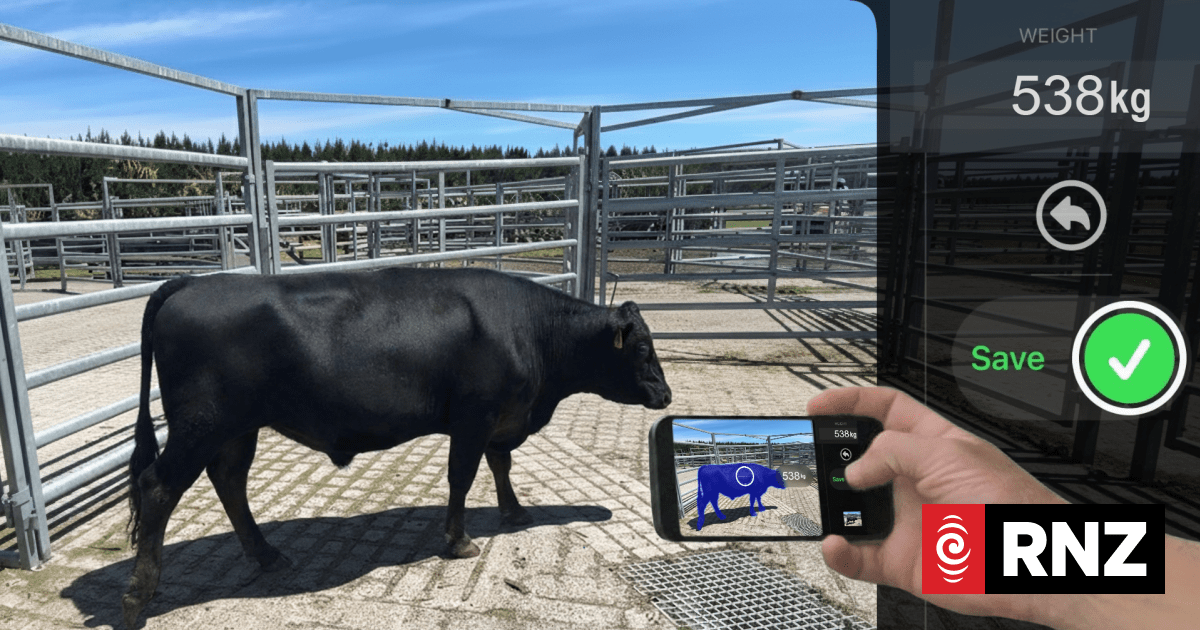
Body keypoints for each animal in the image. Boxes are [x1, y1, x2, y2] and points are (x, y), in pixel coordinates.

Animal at [121, 267, 671, 628]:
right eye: (643, 348)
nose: (666, 395)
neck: (531, 331)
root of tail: (191, 282)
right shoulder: (474, 417)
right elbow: (462, 476)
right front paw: (458, 540)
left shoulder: (500, 419)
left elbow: (501, 463)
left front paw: (514, 512)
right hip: (202, 426)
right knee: (159, 488)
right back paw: (139, 597)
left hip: (237, 429)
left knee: (230, 482)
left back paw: (267, 555)